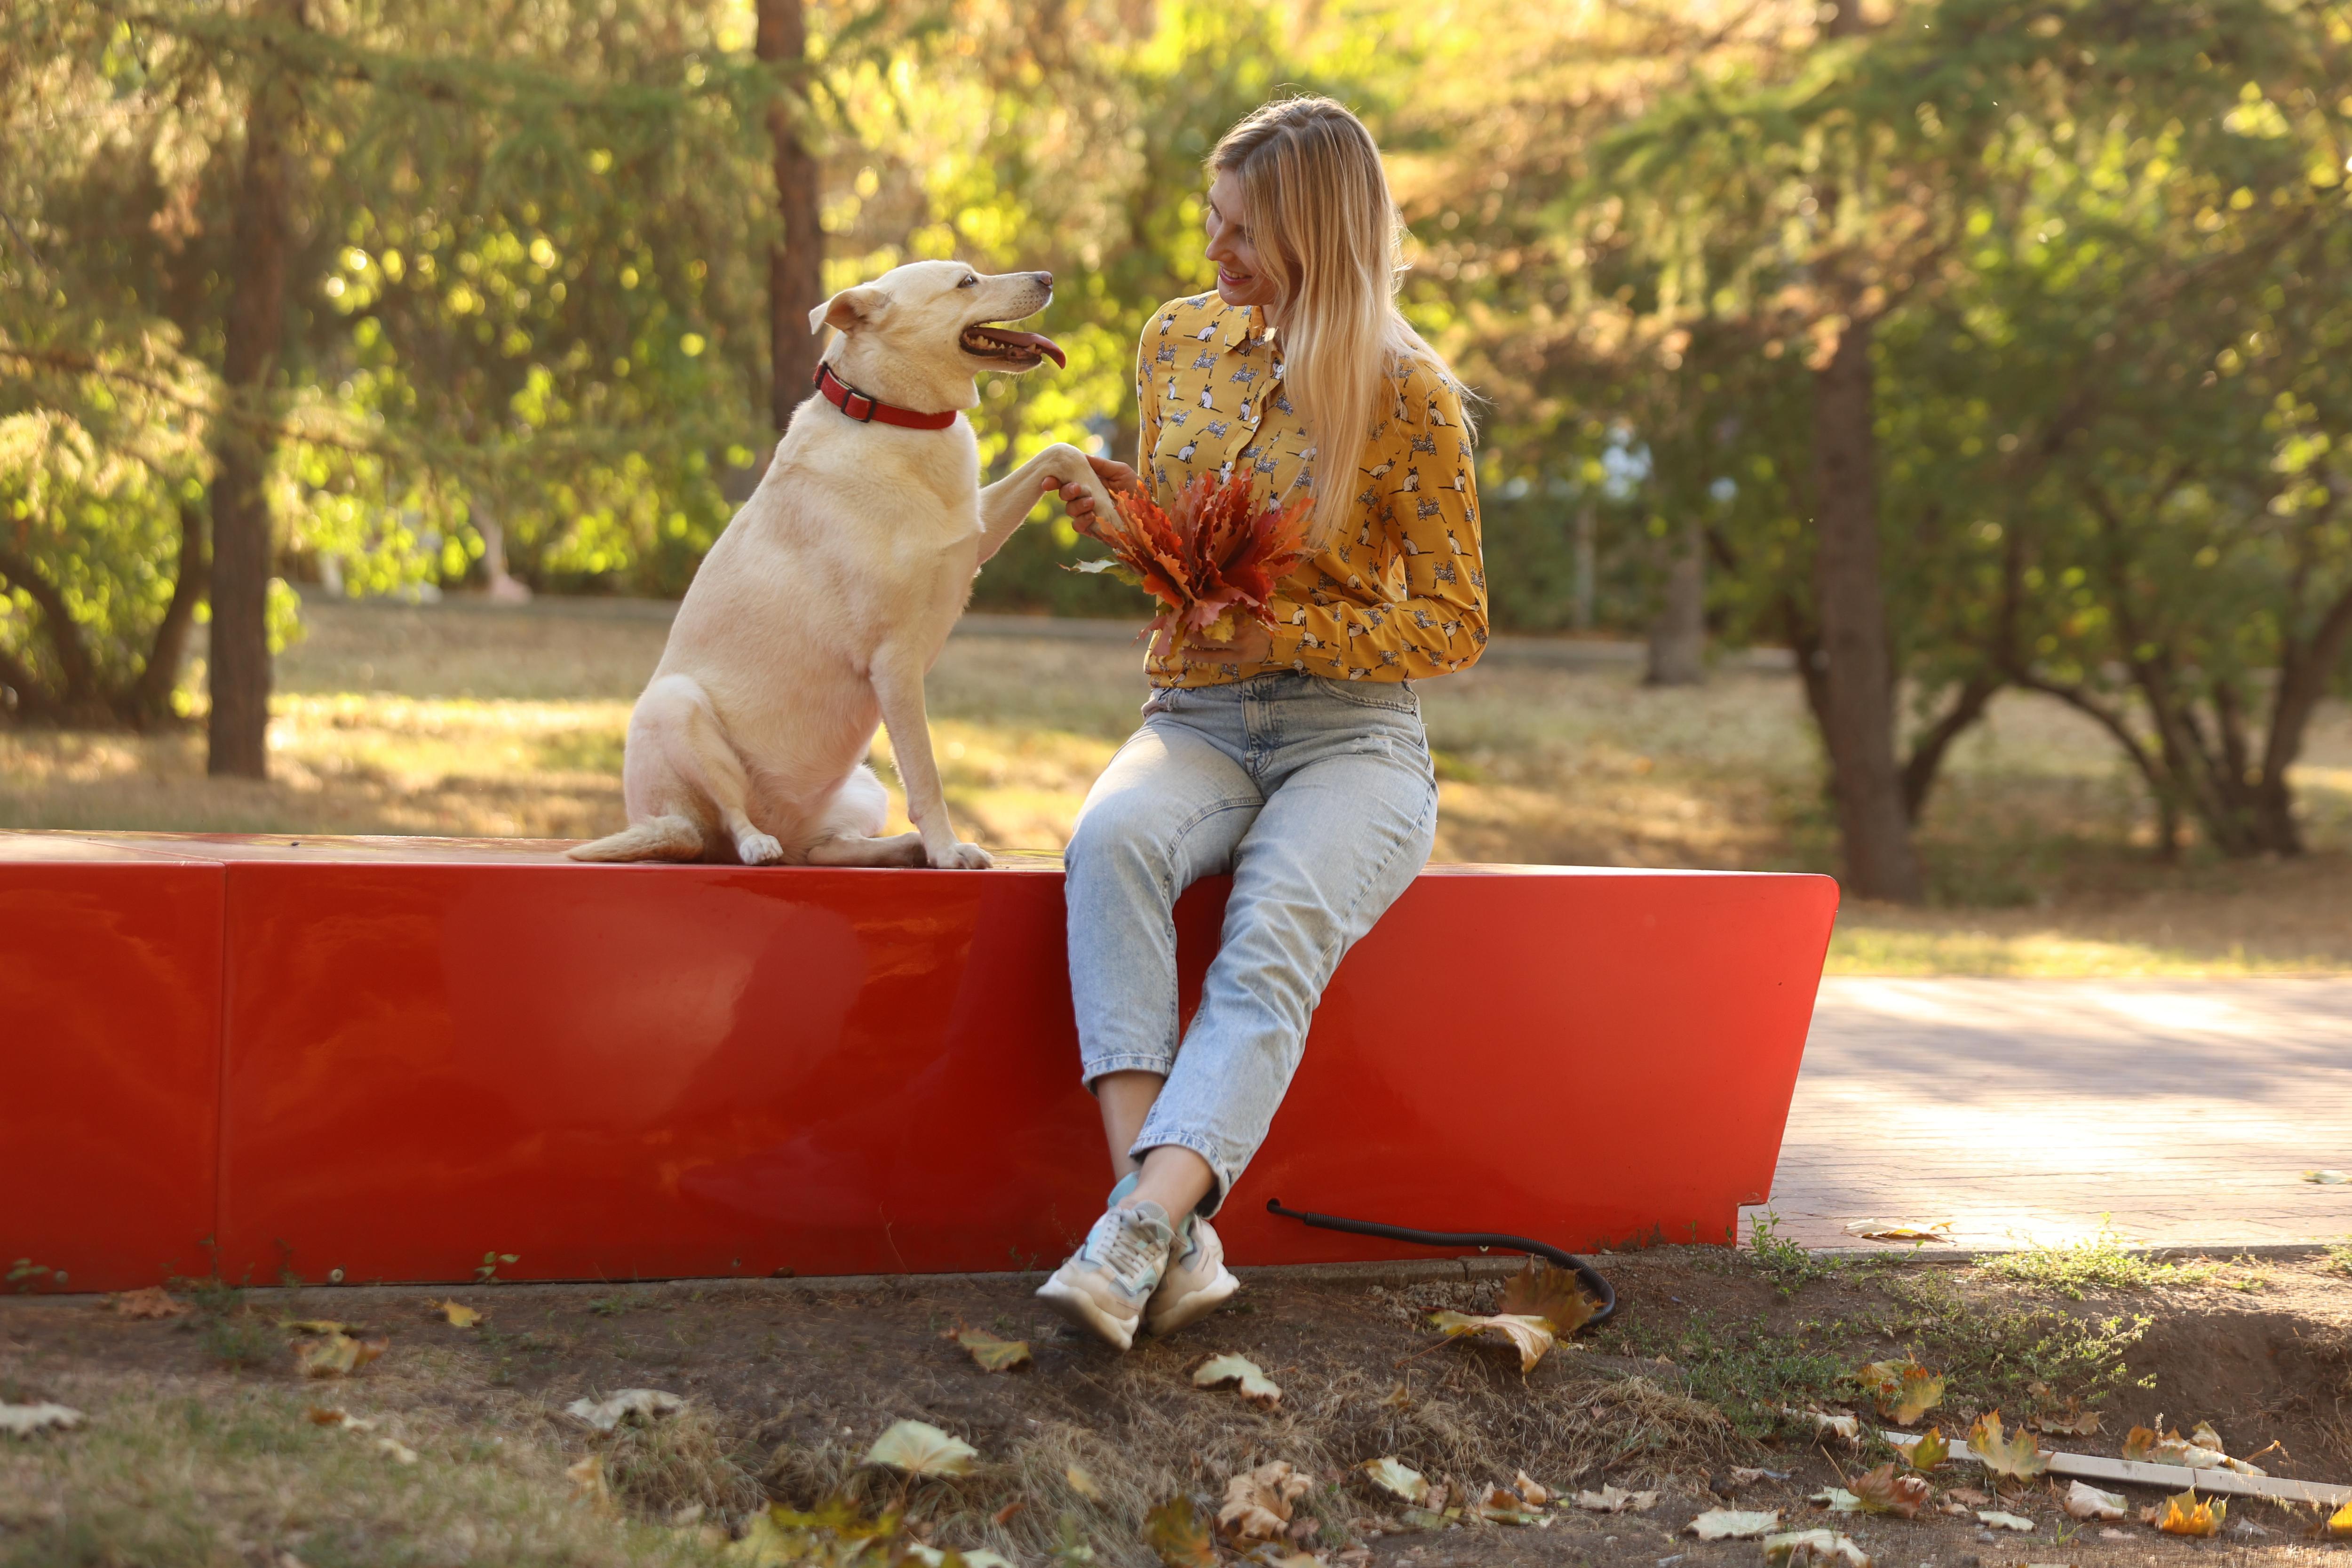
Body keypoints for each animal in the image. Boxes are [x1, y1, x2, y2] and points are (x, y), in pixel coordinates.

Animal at [574, 258, 1115, 869]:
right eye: (966, 282)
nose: (1047, 277)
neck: (892, 417)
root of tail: (659, 822)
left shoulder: (973, 540)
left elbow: (1061, 452)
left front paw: (1114, 513)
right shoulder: (895, 662)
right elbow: (925, 774)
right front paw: (947, 850)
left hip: (861, 788)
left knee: (821, 851)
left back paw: (899, 848)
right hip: (674, 707)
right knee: (726, 825)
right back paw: (760, 844)